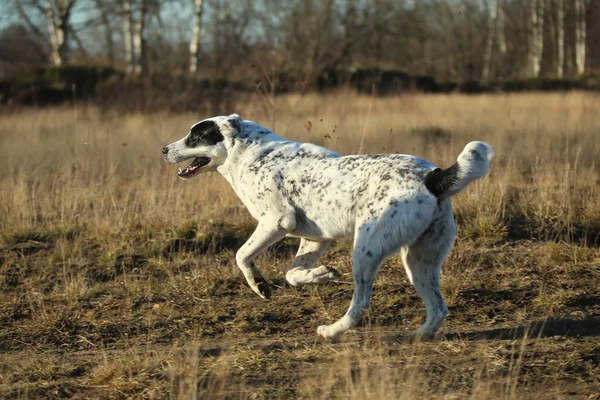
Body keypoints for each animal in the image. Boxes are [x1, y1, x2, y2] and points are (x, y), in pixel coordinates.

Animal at [161, 114, 492, 340]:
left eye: (196, 136)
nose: (163, 150)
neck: (250, 154)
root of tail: (433, 176)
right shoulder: (315, 239)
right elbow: (293, 274)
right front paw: (322, 275)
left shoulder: (277, 221)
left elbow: (242, 256)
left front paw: (259, 285)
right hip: (419, 262)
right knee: (438, 308)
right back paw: (419, 336)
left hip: (365, 250)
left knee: (361, 303)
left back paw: (333, 330)